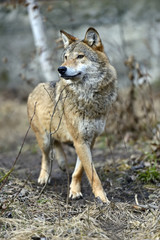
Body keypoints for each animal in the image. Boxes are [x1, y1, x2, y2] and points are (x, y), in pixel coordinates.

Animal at [27, 27, 117, 202]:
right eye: (66, 57)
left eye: (80, 56)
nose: (60, 69)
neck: (88, 96)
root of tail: (34, 89)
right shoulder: (79, 139)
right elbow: (92, 174)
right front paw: (102, 199)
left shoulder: (89, 139)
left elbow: (79, 170)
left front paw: (74, 191)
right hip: (44, 138)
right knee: (45, 156)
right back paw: (44, 177)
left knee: (57, 143)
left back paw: (62, 163)